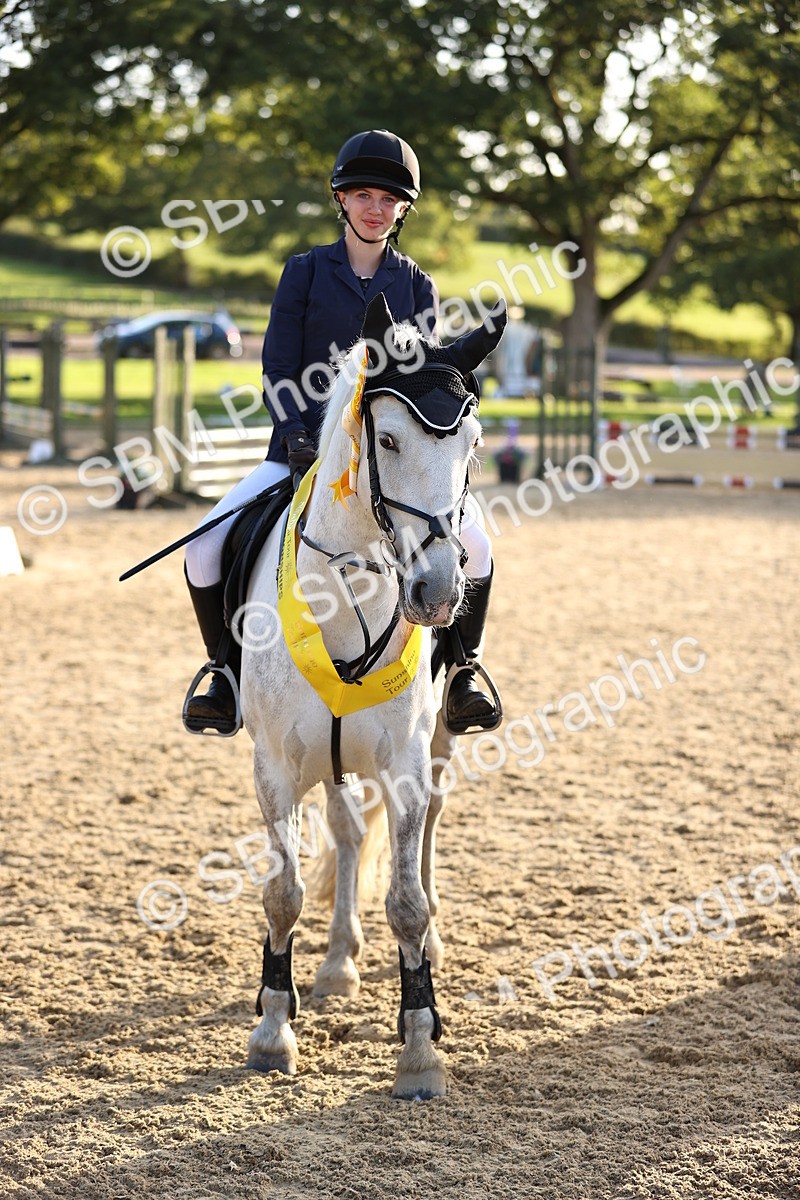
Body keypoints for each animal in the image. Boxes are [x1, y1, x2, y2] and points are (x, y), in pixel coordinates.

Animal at [240, 293, 507, 1100]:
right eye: (385, 440)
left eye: (472, 446)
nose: (439, 592)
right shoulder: (274, 768)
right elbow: (284, 893)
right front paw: (273, 1029)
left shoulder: (406, 763)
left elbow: (407, 903)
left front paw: (420, 1048)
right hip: (328, 759)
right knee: (352, 833)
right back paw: (335, 964)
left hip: (439, 741)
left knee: (425, 833)